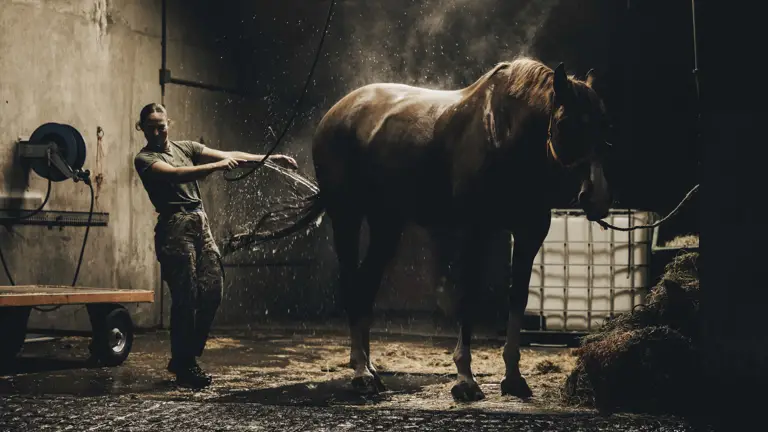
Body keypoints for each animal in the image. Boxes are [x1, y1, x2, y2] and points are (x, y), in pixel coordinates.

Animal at [224, 57, 612, 402]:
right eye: (565, 123)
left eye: (602, 128)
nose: (597, 199)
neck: (503, 134)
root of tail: (338, 112)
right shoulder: (476, 230)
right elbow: (468, 296)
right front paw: (465, 380)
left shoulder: (530, 234)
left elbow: (517, 299)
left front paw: (513, 379)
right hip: (346, 216)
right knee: (351, 284)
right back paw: (361, 374)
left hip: (386, 223)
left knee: (366, 285)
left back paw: (370, 369)